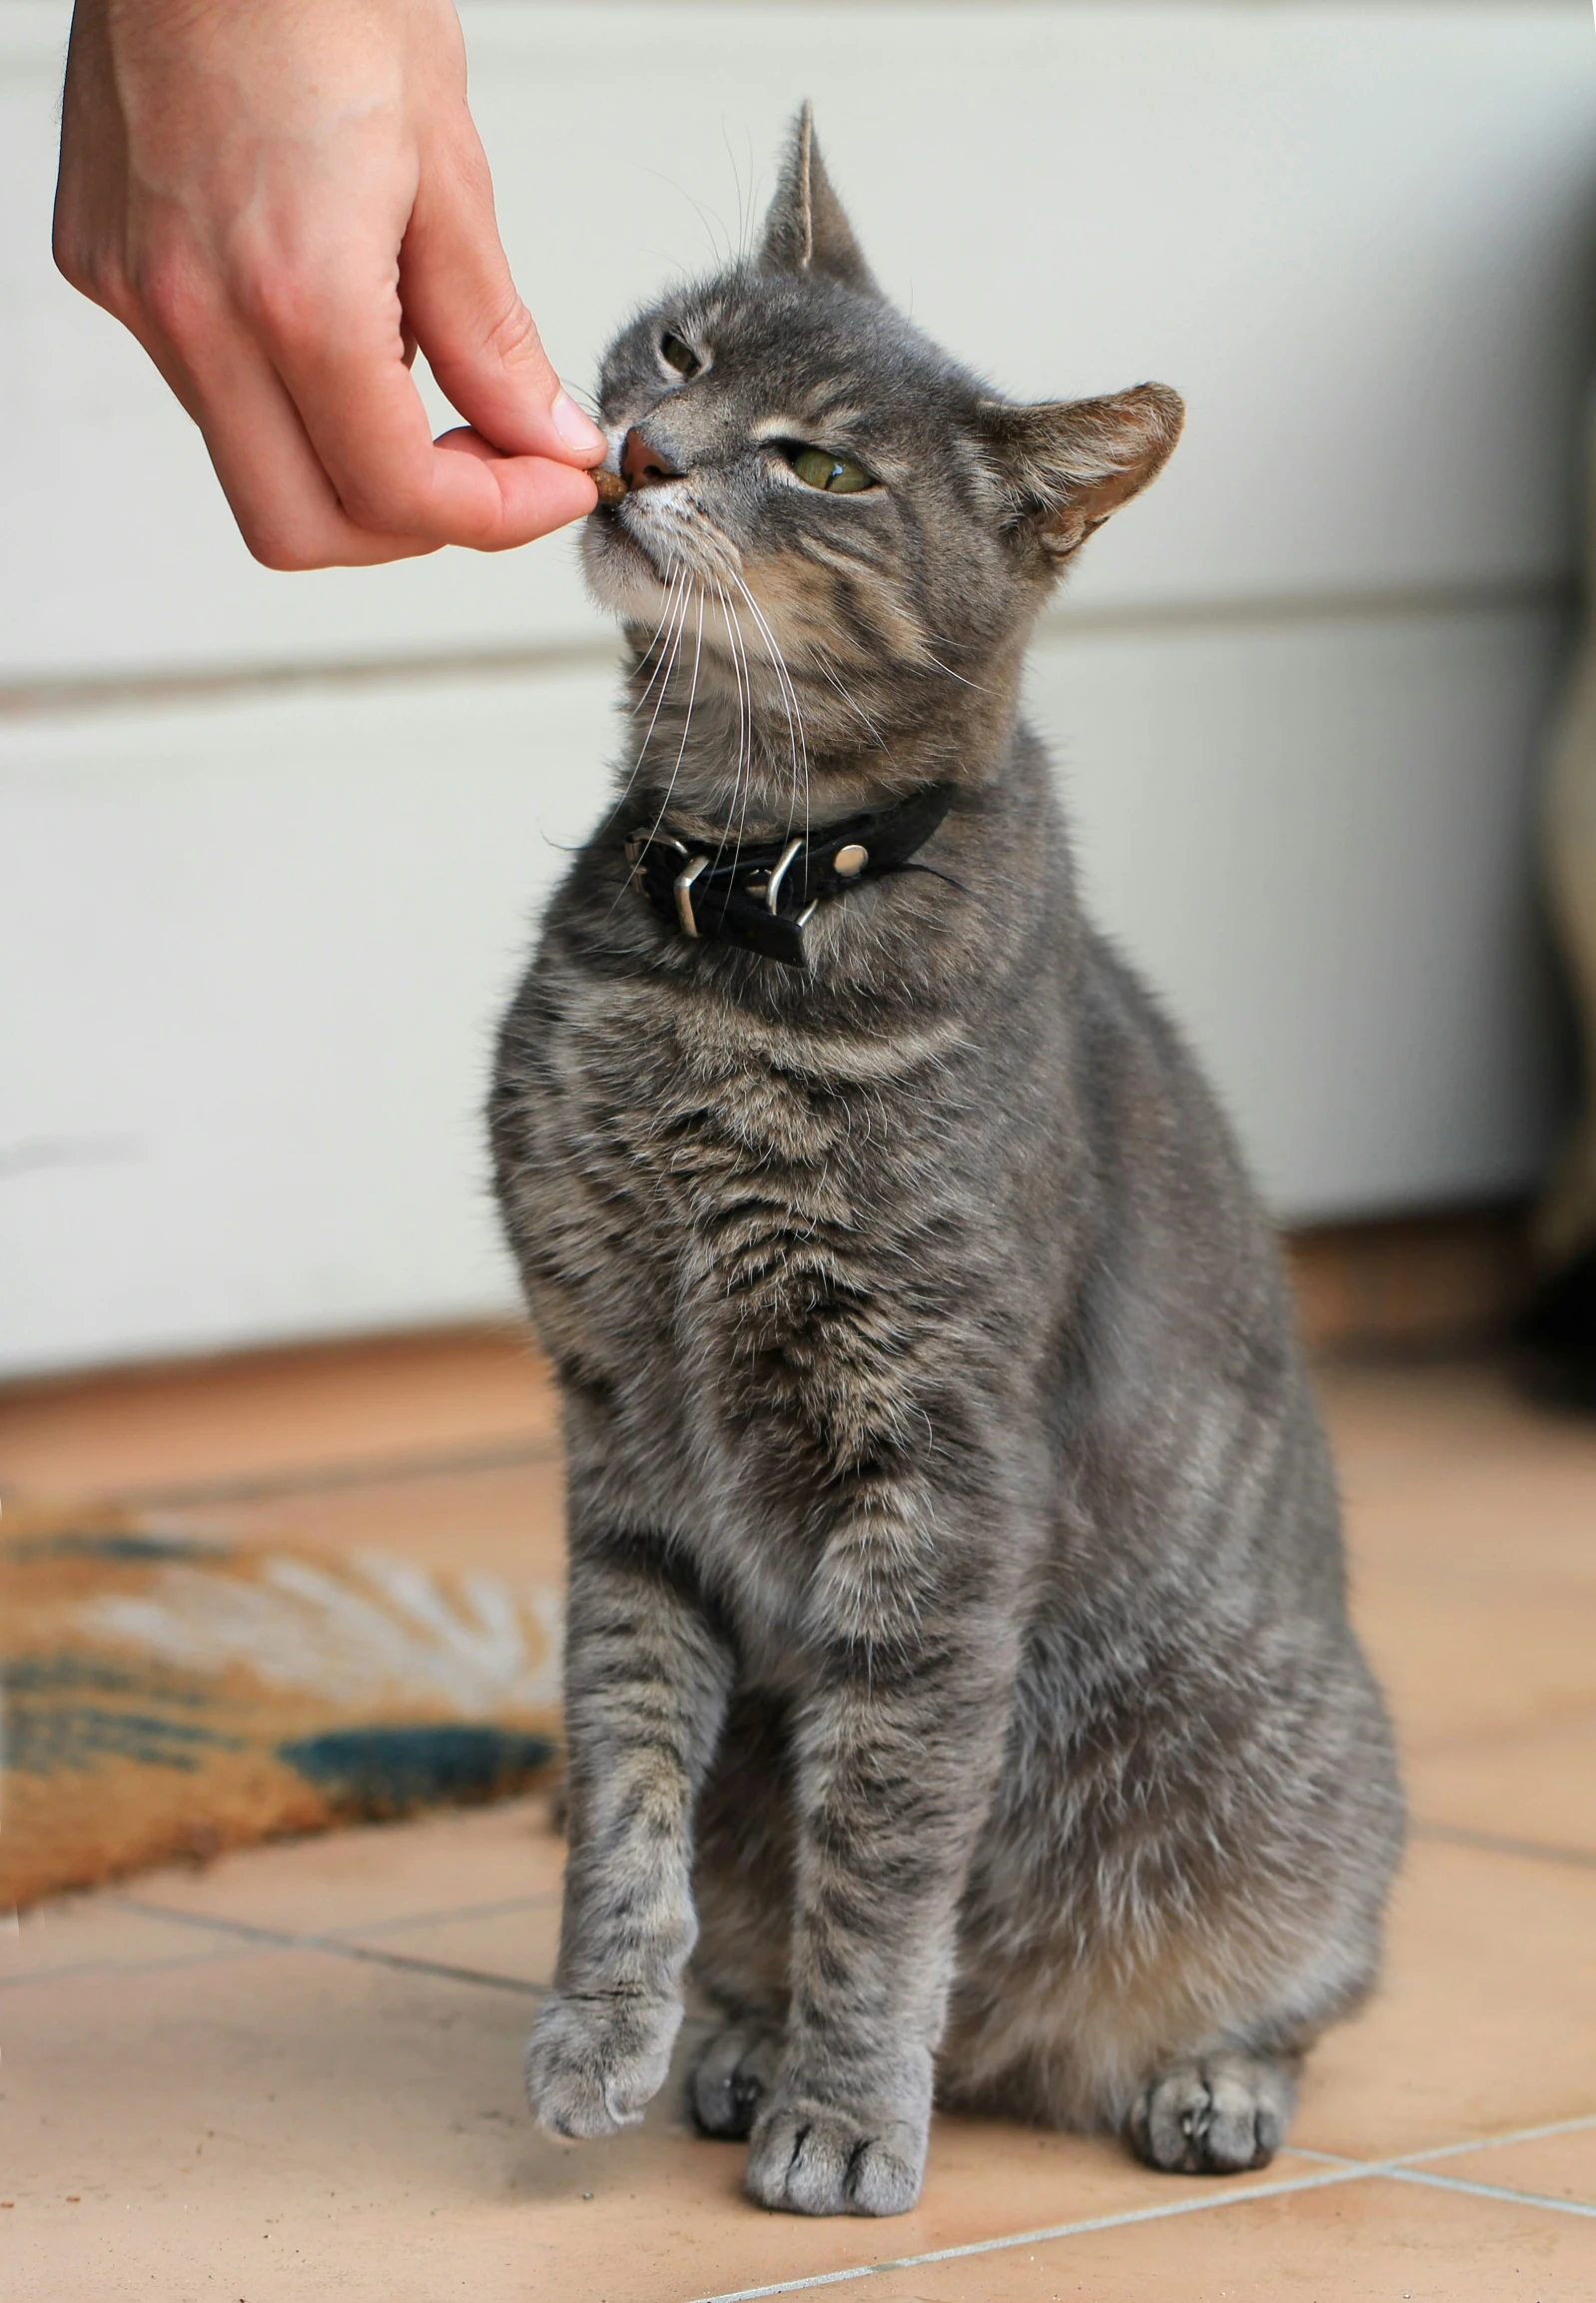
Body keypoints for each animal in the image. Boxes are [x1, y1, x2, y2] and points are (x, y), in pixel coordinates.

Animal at [492, 117, 1399, 2219]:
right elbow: (626, 1774)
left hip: (1286, 1785)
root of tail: (1019, 2063)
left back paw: (1194, 2081)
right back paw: (733, 2040)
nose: (644, 449)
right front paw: (605, 2022)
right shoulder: (621, 1434)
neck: (734, 929)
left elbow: (890, 1848)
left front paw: (847, 2110)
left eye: (823, 466)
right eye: (680, 348)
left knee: (1290, 1985)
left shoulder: (934, 1474)